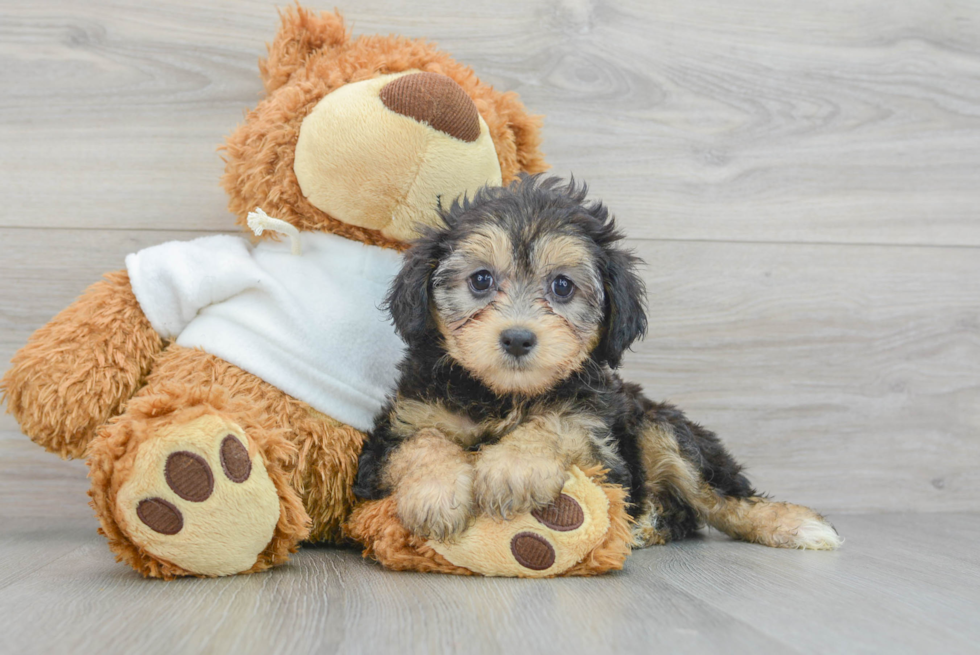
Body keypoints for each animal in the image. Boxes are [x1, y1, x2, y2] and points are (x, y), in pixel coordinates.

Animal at [354, 172, 844, 552]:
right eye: (480, 280)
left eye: (562, 286)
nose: (517, 338)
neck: (505, 395)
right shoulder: (398, 427)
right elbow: (422, 442)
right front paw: (435, 493)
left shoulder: (604, 444)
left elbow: (560, 421)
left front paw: (515, 467)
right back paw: (651, 525)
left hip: (658, 426)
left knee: (719, 496)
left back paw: (790, 524)